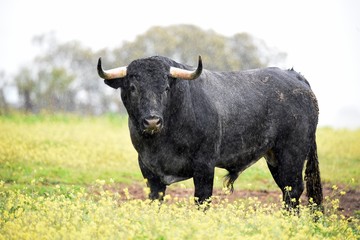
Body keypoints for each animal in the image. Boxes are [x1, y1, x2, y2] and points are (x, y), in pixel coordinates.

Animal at [97, 54, 324, 208]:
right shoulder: (149, 170)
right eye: (133, 87)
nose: (152, 121)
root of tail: (294, 76)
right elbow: (155, 200)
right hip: (274, 157)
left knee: (294, 190)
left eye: (166, 88)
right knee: (286, 190)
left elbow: (202, 199)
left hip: (292, 153)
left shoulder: (205, 166)